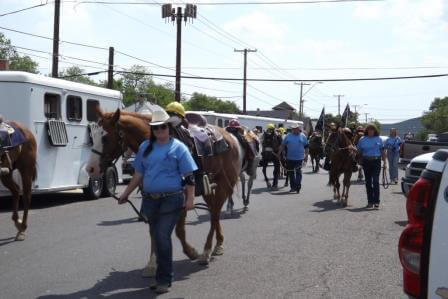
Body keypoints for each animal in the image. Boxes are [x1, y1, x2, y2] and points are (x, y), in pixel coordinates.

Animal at [87, 108, 242, 270]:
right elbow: (153, 230)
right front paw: (152, 263)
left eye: (105, 138)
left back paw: (206, 252)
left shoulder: (181, 197)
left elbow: (179, 230)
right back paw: (218, 244)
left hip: (223, 184)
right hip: (209, 188)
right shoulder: (150, 197)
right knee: (214, 213)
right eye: (92, 136)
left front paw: (191, 252)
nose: (91, 169)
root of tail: (229, 137)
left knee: (215, 214)